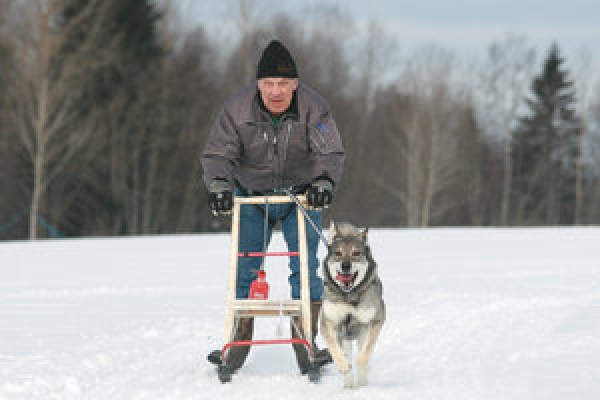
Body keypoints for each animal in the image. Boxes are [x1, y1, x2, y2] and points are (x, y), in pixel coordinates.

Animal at [322, 222, 386, 388]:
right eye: (338, 253)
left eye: (356, 253)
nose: (345, 265)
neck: (348, 295)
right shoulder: (328, 322)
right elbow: (333, 347)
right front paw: (343, 365)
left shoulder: (376, 320)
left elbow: (366, 350)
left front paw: (363, 364)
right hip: (344, 338)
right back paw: (349, 384)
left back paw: (362, 382)